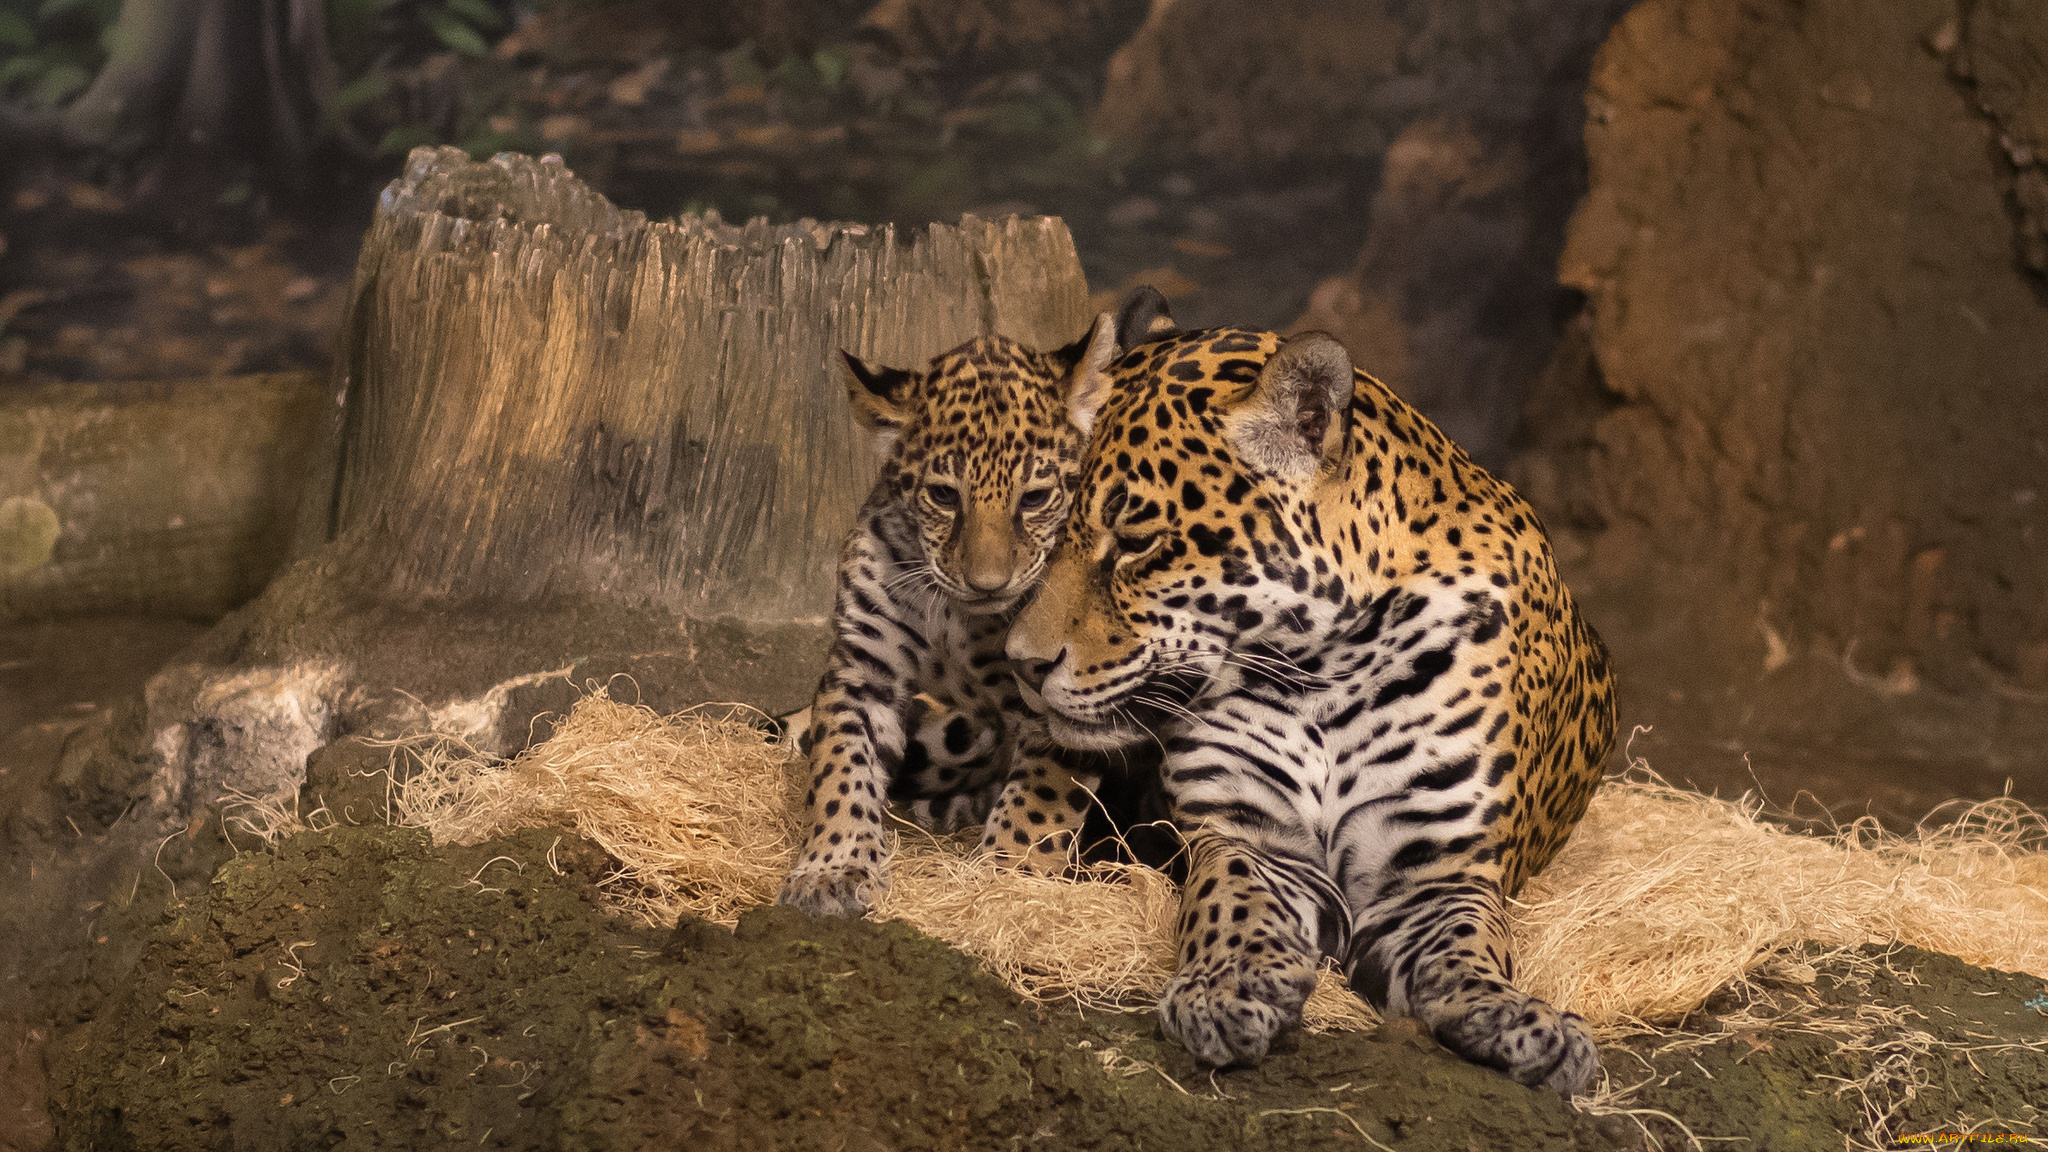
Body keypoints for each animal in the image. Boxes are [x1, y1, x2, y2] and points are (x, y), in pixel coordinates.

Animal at [778, 290, 1182, 919]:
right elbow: (841, 765)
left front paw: (1005, 884)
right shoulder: (865, 666)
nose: (988, 584)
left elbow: (1038, 800)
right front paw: (832, 869)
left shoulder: (1057, 692)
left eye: (1035, 498)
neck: (956, 612)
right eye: (945, 496)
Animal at [1006, 306, 1617, 1094]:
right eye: (1048, 525)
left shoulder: (1437, 872)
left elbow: (1468, 944)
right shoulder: (1250, 836)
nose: (1022, 661)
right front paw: (1228, 988)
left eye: (1136, 542)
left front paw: (1520, 1020)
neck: (1326, 672)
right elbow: (1230, 895)